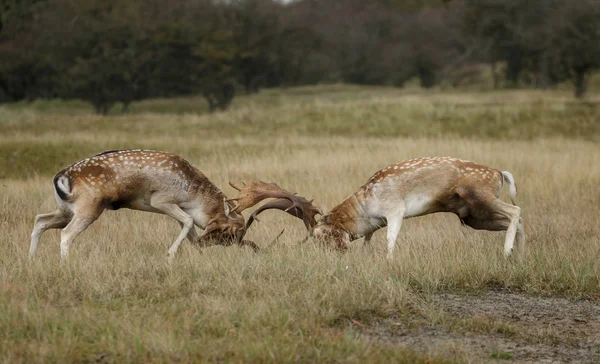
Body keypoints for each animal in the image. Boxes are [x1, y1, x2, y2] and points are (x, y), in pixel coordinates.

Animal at [28, 149, 308, 264]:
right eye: (232, 232)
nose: (218, 244)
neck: (192, 193)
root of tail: (61, 176)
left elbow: (190, 231)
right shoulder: (161, 200)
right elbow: (188, 222)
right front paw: (170, 255)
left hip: (66, 210)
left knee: (40, 219)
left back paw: (31, 261)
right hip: (89, 207)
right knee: (66, 234)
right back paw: (65, 265)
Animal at [234, 156, 524, 258]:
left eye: (320, 235)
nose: (327, 256)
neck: (365, 207)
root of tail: (499, 172)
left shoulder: (395, 211)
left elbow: (390, 240)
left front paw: (389, 261)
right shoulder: (376, 224)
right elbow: (368, 241)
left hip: (480, 196)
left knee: (516, 211)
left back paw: (507, 252)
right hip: (473, 217)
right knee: (516, 220)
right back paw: (520, 256)